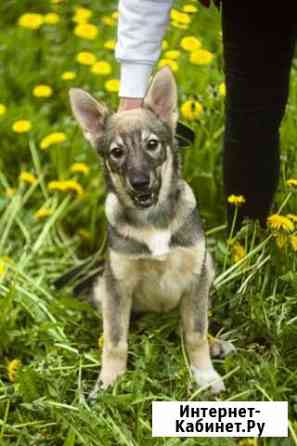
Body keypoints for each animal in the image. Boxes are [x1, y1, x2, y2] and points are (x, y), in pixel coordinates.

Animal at [70, 65, 228, 398]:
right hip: (103, 286)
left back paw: (215, 344)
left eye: (152, 144)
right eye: (116, 152)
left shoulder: (195, 279)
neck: (152, 220)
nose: (140, 183)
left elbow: (195, 332)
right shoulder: (117, 285)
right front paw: (108, 382)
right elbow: (115, 341)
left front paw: (205, 375)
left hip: (207, 268)